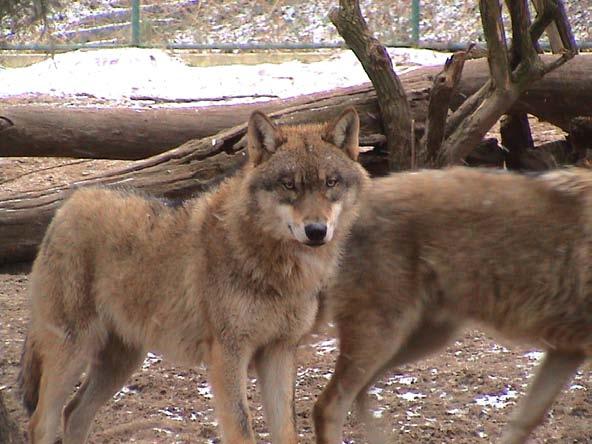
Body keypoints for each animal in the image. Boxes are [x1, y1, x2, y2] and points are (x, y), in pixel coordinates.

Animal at [19, 108, 370, 444]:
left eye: (330, 183)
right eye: (289, 185)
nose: (316, 231)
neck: (279, 267)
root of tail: (67, 204)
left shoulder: (279, 353)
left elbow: (286, 433)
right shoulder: (227, 355)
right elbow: (241, 431)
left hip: (122, 361)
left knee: (74, 413)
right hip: (73, 351)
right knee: (40, 421)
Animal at [314, 166, 592, 444]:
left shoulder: (566, 350)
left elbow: (523, 421)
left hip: (421, 340)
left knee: (360, 394)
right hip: (383, 339)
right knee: (328, 406)